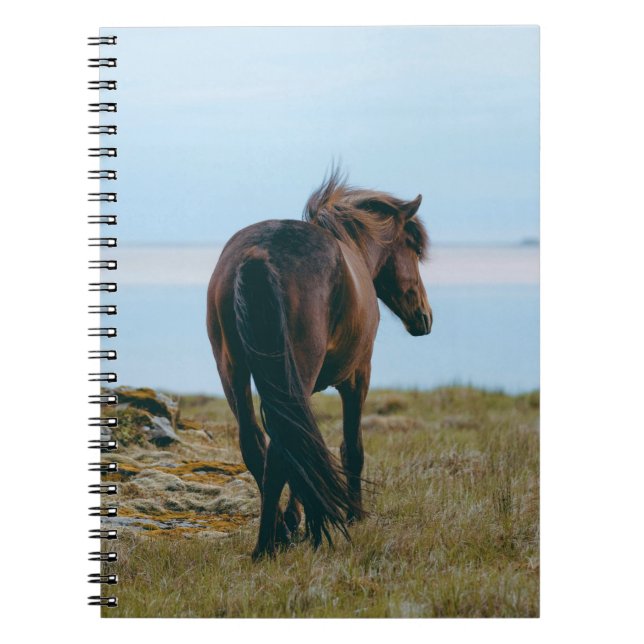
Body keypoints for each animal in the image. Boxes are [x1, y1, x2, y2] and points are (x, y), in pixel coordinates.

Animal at [206, 170, 432, 560]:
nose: (424, 317)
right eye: (414, 249)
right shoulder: (358, 375)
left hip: (233, 371)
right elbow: (351, 447)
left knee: (258, 445)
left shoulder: (299, 387)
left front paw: (295, 517)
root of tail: (258, 253)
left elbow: (305, 444)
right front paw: (355, 515)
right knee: (279, 450)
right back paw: (267, 545)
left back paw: (276, 533)